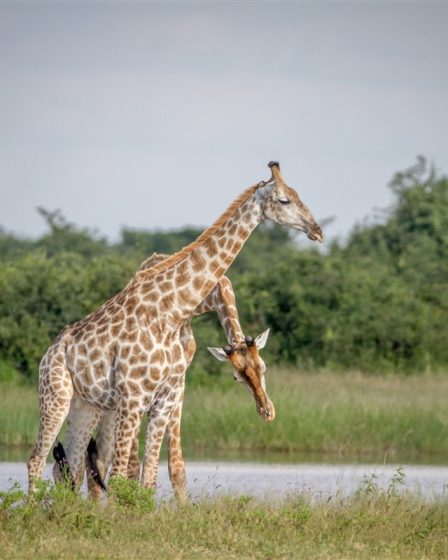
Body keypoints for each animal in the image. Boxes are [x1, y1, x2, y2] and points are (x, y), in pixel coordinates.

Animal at [54, 255, 272, 504]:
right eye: (236, 378)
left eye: (263, 367)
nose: (267, 412)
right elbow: (133, 465)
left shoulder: (179, 378)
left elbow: (176, 465)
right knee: (92, 459)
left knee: (94, 458)